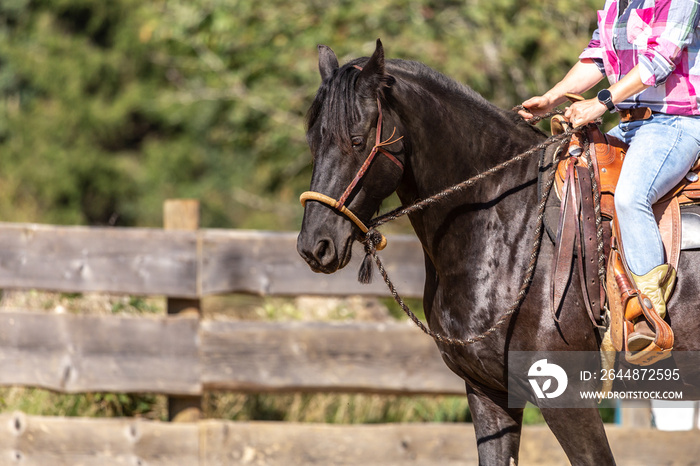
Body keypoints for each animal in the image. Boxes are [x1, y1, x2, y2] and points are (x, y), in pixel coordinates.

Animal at [298, 41, 696, 466]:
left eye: (357, 140)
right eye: (314, 141)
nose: (314, 245)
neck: (507, 223)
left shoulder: (568, 398)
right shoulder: (488, 391)